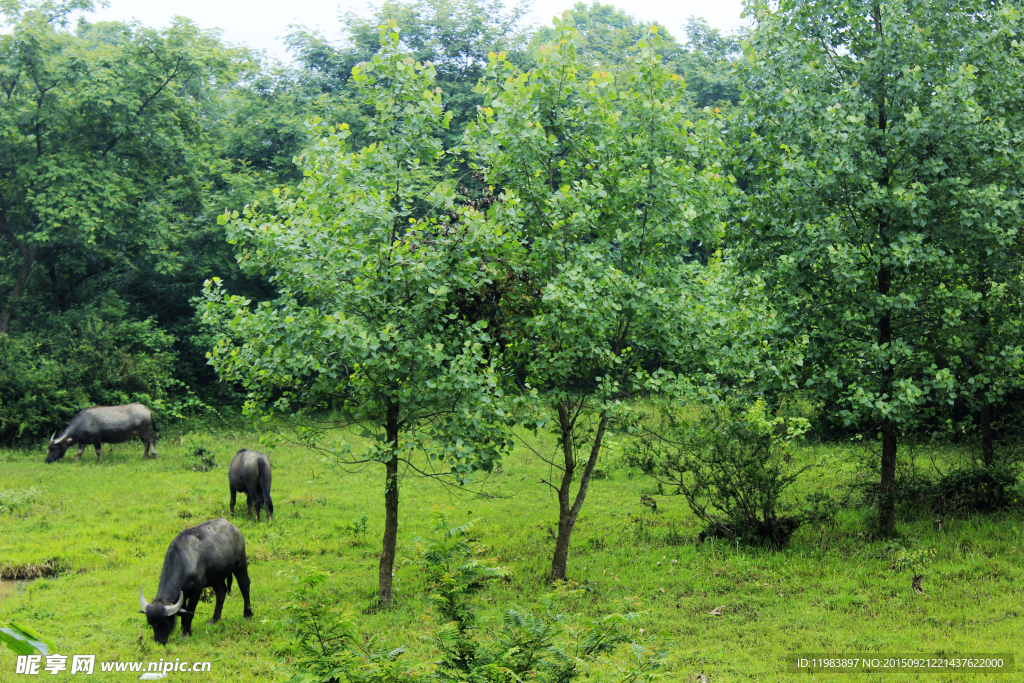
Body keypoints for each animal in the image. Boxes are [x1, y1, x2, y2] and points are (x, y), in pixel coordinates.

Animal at [138, 518, 251, 647]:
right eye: (151, 624)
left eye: (165, 622)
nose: (159, 641)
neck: (184, 561)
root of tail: (233, 527)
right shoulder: (182, 594)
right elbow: (183, 612)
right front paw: (183, 629)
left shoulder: (197, 590)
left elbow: (190, 612)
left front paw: (186, 634)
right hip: (216, 577)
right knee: (221, 592)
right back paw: (214, 620)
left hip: (240, 564)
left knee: (244, 585)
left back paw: (247, 614)